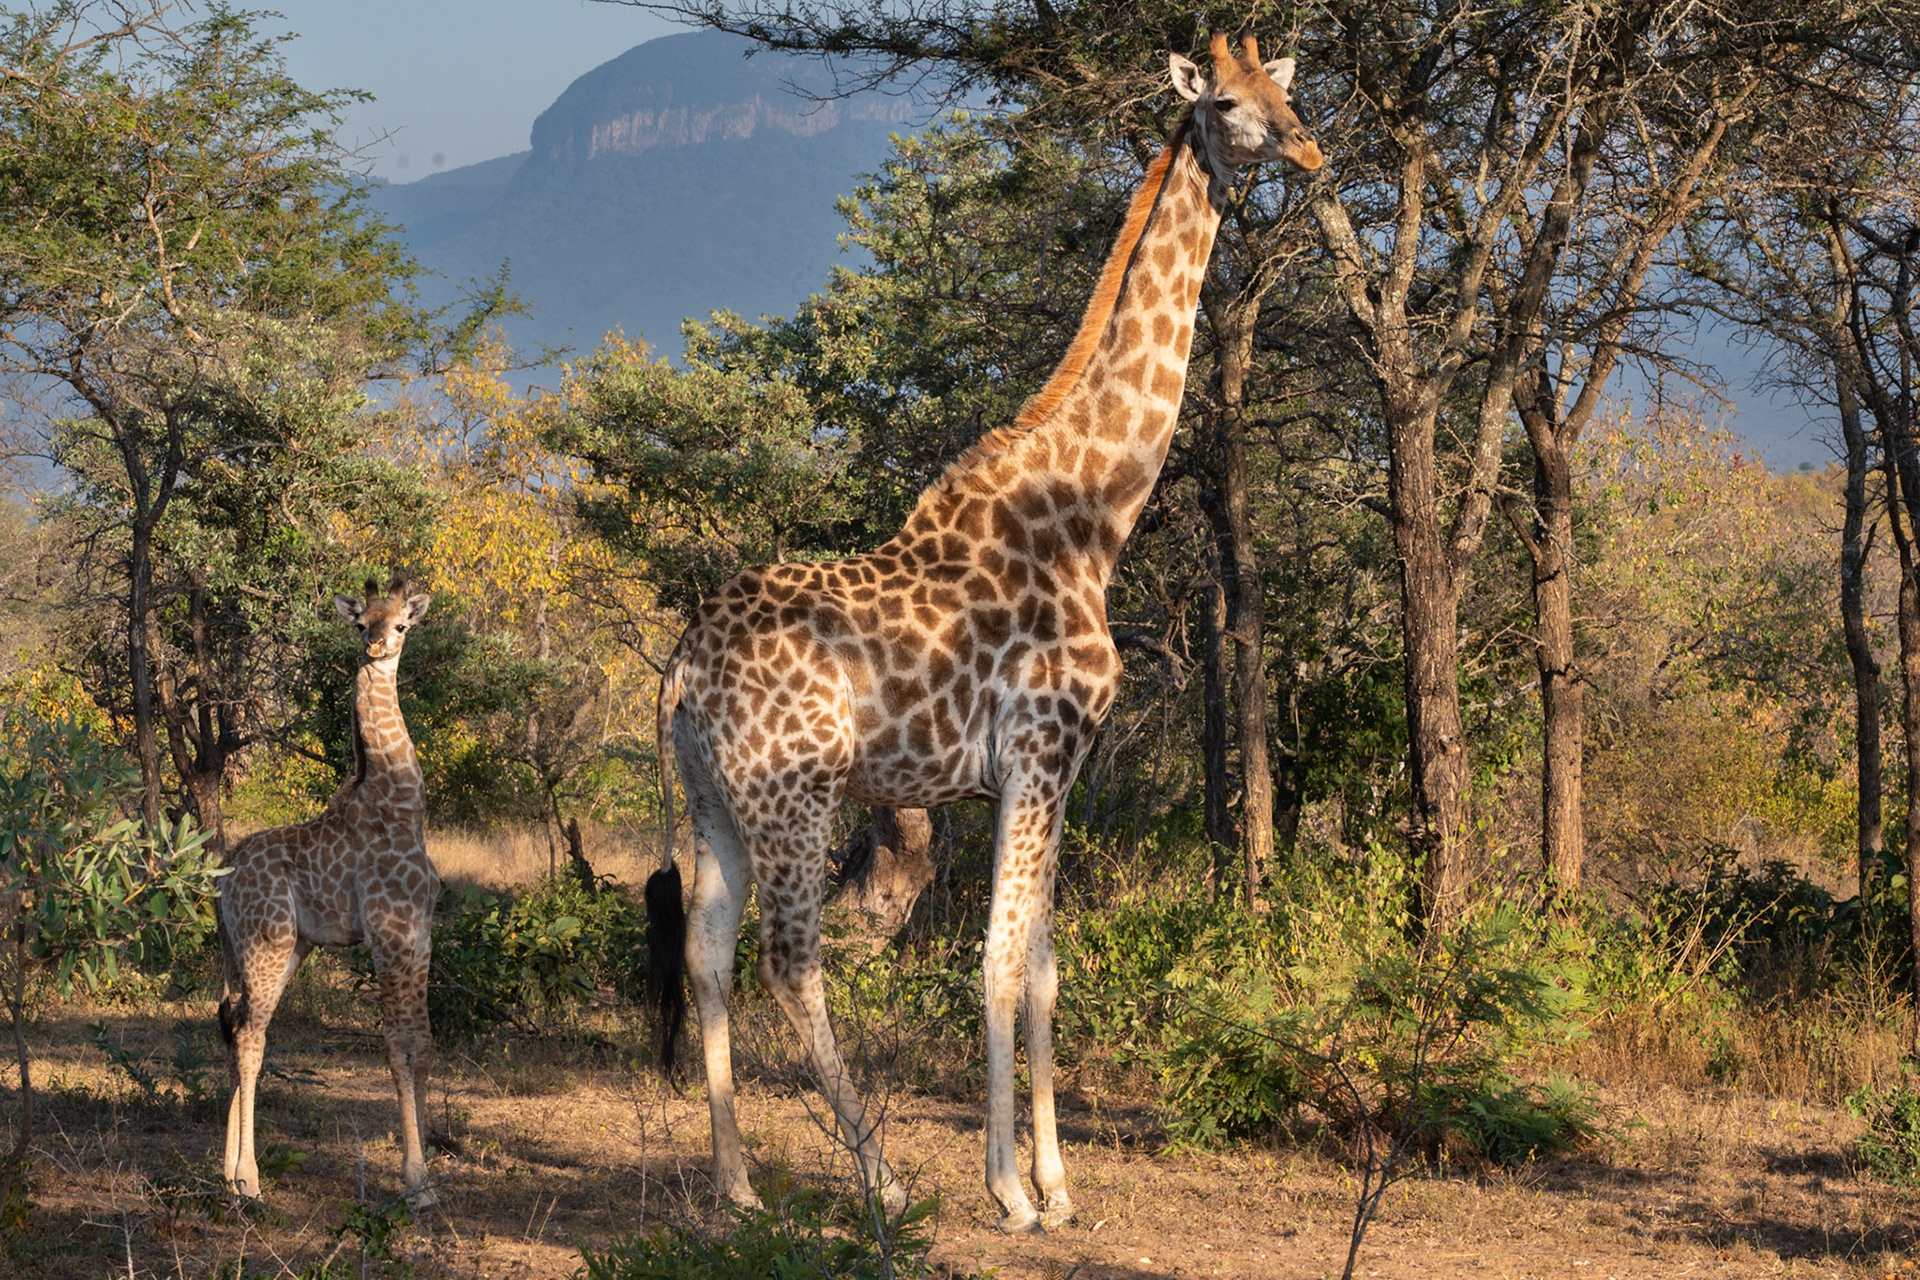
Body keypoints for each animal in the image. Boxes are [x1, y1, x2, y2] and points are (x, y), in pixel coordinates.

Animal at [217, 579, 440, 1206]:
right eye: (360, 622)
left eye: (402, 625)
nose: (376, 645)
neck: (402, 803)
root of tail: (221, 881)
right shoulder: (389, 933)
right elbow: (397, 1045)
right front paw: (416, 1181)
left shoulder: (420, 933)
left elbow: (423, 1042)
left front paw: (429, 1171)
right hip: (267, 945)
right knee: (250, 1035)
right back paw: (249, 1179)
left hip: (282, 948)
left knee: (240, 1029)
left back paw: (225, 1172)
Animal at [646, 31, 1322, 1233]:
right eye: (1235, 106)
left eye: (1291, 92)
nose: (1314, 153)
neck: (1094, 517)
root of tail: (682, 670)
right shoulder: (1040, 751)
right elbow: (1000, 962)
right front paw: (1010, 1188)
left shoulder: (1050, 770)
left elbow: (1043, 962)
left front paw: (1058, 1181)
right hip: (792, 794)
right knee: (792, 959)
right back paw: (882, 1176)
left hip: (712, 797)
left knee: (710, 953)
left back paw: (738, 1183)